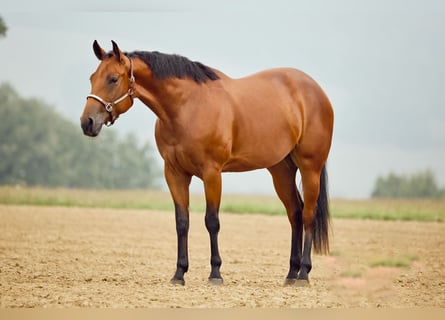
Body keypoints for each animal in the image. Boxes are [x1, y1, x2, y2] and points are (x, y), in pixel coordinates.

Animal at [81, 40, 334, 288]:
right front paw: (179, 273)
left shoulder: (212, 173)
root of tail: (316, 91)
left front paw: (215, 274)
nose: (87, 122)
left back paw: (303, 274)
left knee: (308, 214)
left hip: (310, 167)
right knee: (295, 213)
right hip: (281, 170)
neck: (186, 108)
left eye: (113, 79)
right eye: (92, 78)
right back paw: (291, 273)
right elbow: (182, 222)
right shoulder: (174, 173)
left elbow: (212, 221)